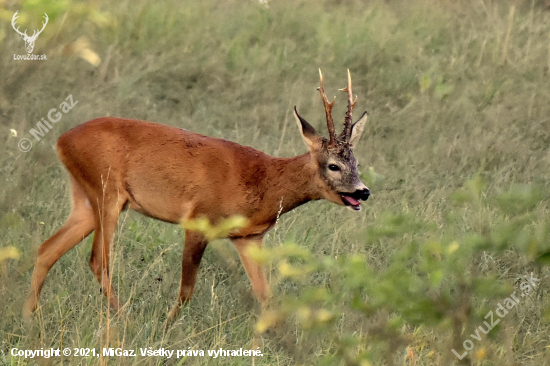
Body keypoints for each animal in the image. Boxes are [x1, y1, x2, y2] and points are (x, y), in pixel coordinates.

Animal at [23, 69, 374, 320]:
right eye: (333, 165)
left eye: (356, 162)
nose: (363, 191)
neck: (264, 181)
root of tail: (61, 140)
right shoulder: (198, 219)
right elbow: (186, 290)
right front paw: (166, 329)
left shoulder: (249, 238)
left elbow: (266, 296)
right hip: (106, 193)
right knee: (98, 260)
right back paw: (125, 319)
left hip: (85, 201)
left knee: (47, 249)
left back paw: (31, 318)